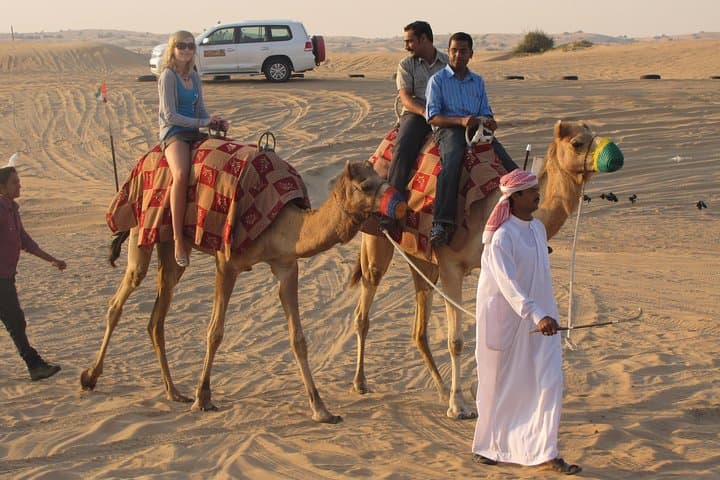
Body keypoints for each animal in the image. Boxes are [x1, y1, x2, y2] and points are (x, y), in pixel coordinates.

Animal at [81, 153, 406, 424]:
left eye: (382, 178)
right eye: (365, 185)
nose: (400, 203)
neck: (280, 222)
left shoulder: (287, 265)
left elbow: (298, 339)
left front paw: (321, 409)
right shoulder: (227, 263)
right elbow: (215, 332)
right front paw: (203, 397)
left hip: (171, 247)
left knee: (156, 318)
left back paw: (173, 391)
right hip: (142, 227)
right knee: (120, 298)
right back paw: (90, 376)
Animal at [349, 120, 624, 419]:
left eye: (591, 134)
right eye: (577, 143)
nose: (616, 156)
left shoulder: (489, 266)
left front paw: (480, 394)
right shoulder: (451, 266)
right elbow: (456, 340)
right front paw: (459, 405)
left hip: (423, 259)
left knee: (418, 328)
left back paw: (441, 390)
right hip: (376, 243)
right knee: (364, 308)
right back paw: (361, 383)